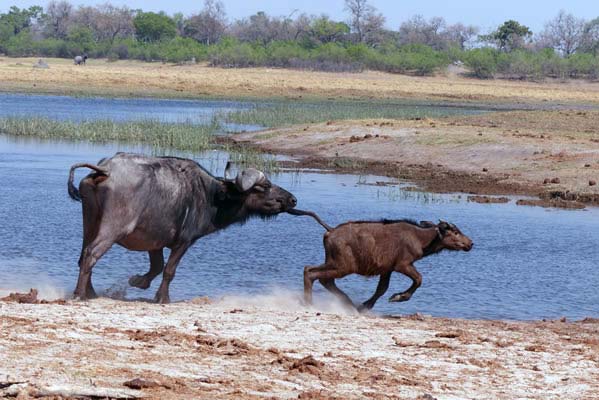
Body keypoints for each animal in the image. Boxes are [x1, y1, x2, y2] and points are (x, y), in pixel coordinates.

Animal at [68, 153, 298, 304]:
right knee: (91, 254)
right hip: (114, 228)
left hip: (90, 223)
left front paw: (138, 281)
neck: (210, 196)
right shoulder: (184, 241)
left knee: (83, 255)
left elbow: (157, 266)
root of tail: (106, 170)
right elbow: (169, 270)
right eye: (265, 187)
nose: (292, 199)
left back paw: (91, 292)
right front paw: (163, 298)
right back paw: (79, 294)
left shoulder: (154, 242)